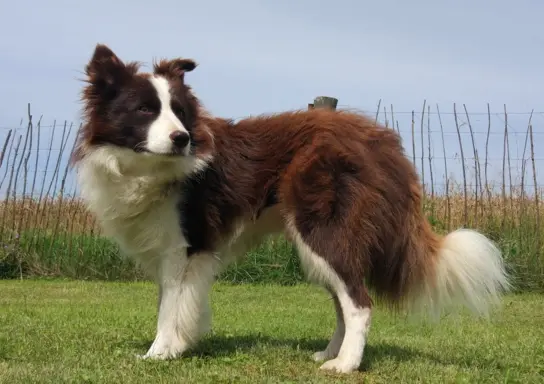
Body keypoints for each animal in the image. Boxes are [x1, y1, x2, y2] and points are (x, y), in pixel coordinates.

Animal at [71, 43, 510, 374]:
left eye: (179, 112)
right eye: (145, 110)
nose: (182, 139)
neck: (149, 168)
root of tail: (382, 142)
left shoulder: (186, 246)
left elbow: (170, 308)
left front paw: (159, 353)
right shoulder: (169, 248)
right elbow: (169, 302)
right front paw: (175, 347)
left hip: (324, 230)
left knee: (359, 303)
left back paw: (345, 365)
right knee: (342, 301)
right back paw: (330, 353)